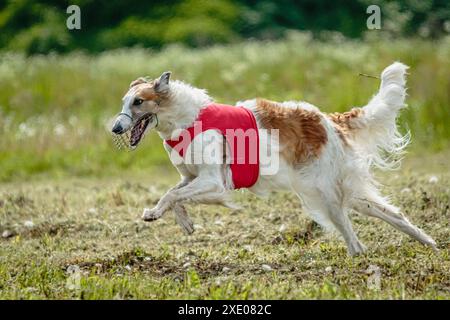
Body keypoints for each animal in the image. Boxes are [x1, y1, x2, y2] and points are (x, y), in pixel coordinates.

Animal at [111, 63, 436, 256]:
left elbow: (170, 196)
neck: (188, 118)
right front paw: (185, 223)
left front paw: (154, 213)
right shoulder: (191, 177)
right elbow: (175, 194)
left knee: (356, 242)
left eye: (138, 102)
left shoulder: (214, 182)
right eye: (124, 102)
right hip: (345, 192)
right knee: (394, 214)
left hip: (327, 196)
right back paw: (429, 242)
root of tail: (327, 120)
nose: (115, 128)